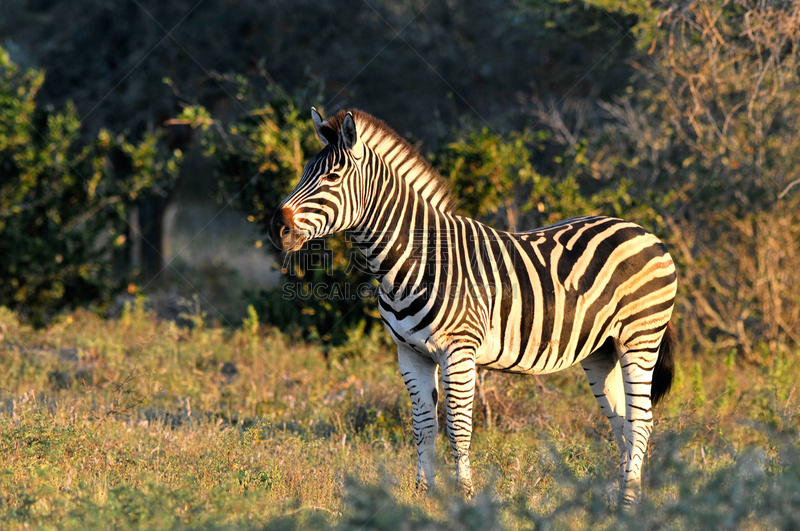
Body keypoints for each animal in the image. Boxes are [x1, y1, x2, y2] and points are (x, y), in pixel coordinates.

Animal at [268, 109, 676, 508]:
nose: (277, 227)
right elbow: (424, 426)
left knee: (641, 421)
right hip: (601, 350)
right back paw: (618, 499)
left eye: (332, 177)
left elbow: (458, 428)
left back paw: (629, 503)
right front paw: (423, 496)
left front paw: (464, 496)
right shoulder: (410, 354)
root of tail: (644, 232)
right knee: (621, 422)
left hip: (640, 339)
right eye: (304, 172)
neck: (412, 261)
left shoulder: (459, 351)